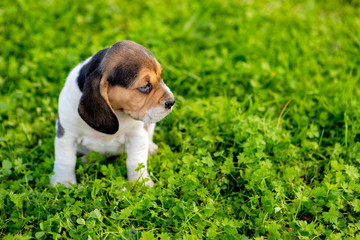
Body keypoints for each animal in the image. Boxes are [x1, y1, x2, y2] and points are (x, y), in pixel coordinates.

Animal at [50, 40, 174, 188]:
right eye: (145, 86)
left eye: (160, 76)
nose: (172, 101)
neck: (118, 112)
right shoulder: (67, 135)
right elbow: (65, 160)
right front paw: (64, 183)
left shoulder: (137, 134)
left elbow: (136, 161)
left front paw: (140, 183)